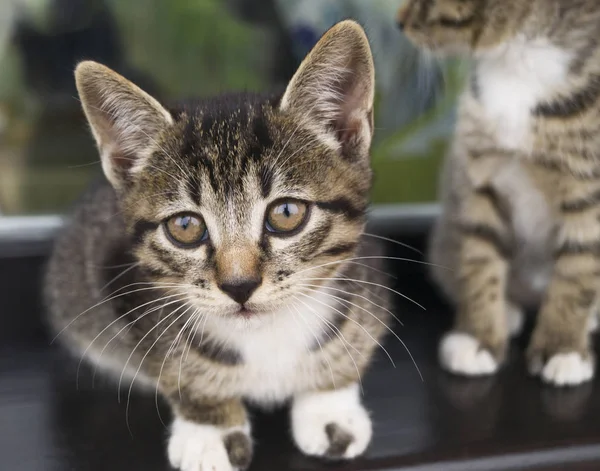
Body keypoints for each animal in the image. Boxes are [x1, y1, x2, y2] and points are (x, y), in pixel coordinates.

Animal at [44, 20, 392, 470]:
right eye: (186, 226)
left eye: (286, 213)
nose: (238, 285)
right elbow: (174, 365)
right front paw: (211, 429)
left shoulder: (369, 274)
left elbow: (352, 337)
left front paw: (328, 405)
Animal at [398, 0, 600, 388]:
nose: (399, 23)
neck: (521, 58)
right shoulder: (478, 176)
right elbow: (479, 255)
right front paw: (478, 336)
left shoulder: (590, 191)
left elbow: (578, 270)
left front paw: (562, 346)